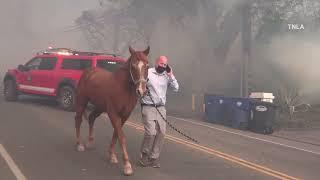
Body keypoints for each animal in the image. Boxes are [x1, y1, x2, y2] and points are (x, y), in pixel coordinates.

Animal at [74, 46, 149, 176]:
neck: (124, 88)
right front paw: (127, 165)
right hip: (81, 101)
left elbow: (116, 134)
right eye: (133, 66)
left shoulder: (124, 115)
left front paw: (112, 156)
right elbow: (121, 137)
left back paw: (90, 142)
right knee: (78, 119)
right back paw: (79, 145)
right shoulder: (113, 113)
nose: (141, 90)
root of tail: (89, 72)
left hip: (100, 107)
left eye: (147, 65)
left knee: (91, 117)